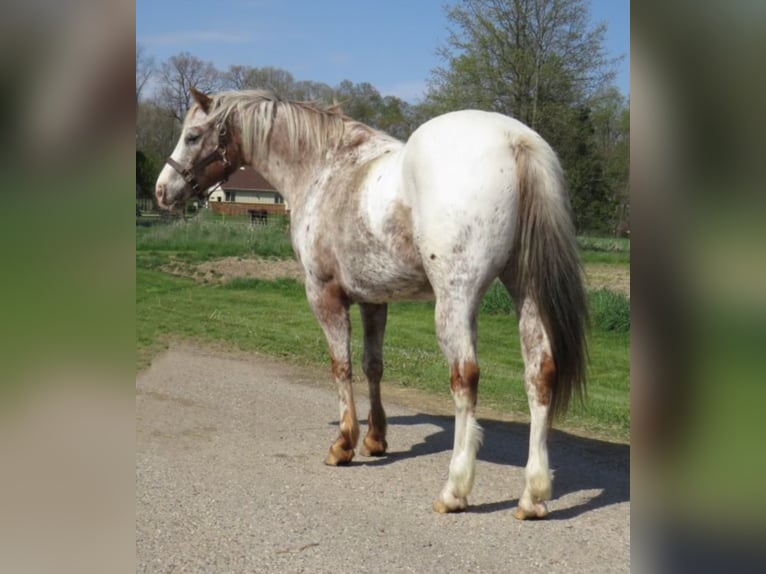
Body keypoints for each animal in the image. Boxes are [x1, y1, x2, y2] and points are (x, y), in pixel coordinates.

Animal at [154, 89, 588, 520]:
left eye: (193, 136)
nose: (162, 190)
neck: (324, 167)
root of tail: (515, 140)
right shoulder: (374, 299)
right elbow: (373, 366)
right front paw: (376, 439)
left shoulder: (324, 295)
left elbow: (341, 366)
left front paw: (343, 444)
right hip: (526, 292)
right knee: (540, 374)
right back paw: (533, 496)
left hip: (457, 299)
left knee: (465, 378)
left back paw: (454, 490)